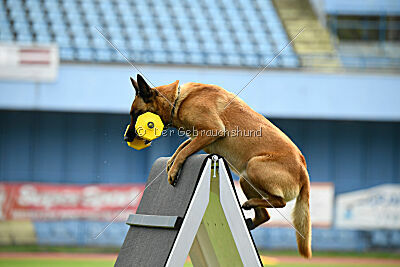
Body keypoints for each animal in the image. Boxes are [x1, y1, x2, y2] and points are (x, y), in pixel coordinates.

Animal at [125, 74, 312, 258]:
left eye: (137, 114)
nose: (126, 138)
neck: (177, 100)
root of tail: (304, 171)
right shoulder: (198, 136)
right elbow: (183, 146)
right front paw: (171, 161)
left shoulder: (212, 131)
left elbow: (186, 150)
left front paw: (174, 169)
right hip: (245, 178)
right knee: (265, 215)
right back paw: (249, 213)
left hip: (253, 166)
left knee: (280, 202)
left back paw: (253, 205)